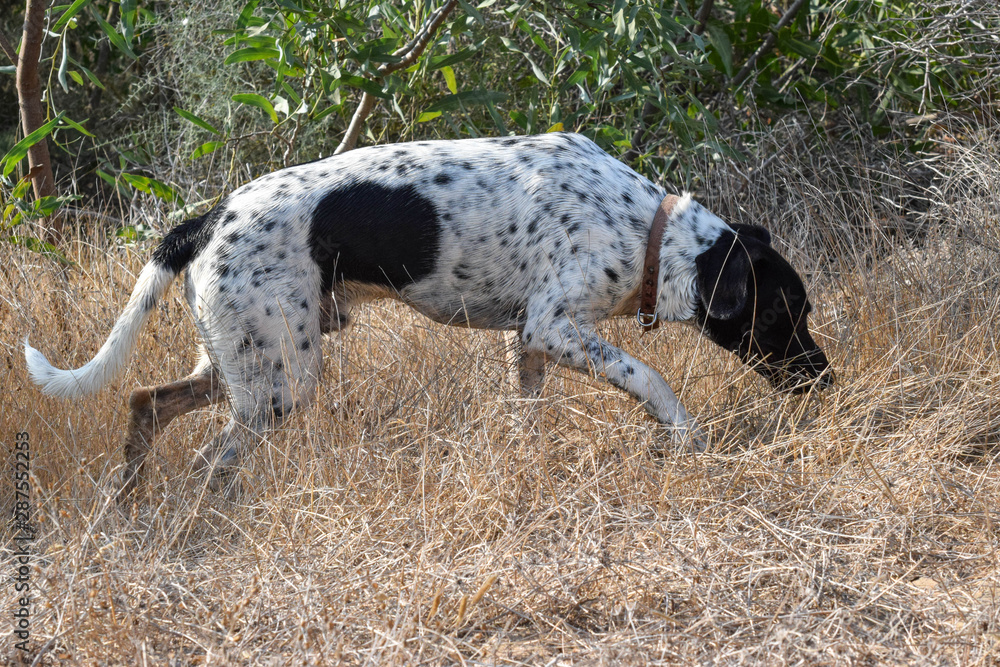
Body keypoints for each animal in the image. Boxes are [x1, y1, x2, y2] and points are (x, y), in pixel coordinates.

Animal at [25, 132, 836, 496]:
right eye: (784, 313)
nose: (827, 381)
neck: (646, 231)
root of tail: (206, 218)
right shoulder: (556, 328)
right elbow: (654, 382)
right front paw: (689, 438)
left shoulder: (529, 343)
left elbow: (527, 415)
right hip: (280, 383)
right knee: (205, 462)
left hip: (246, 362)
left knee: (145, 401)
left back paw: (127, 500)